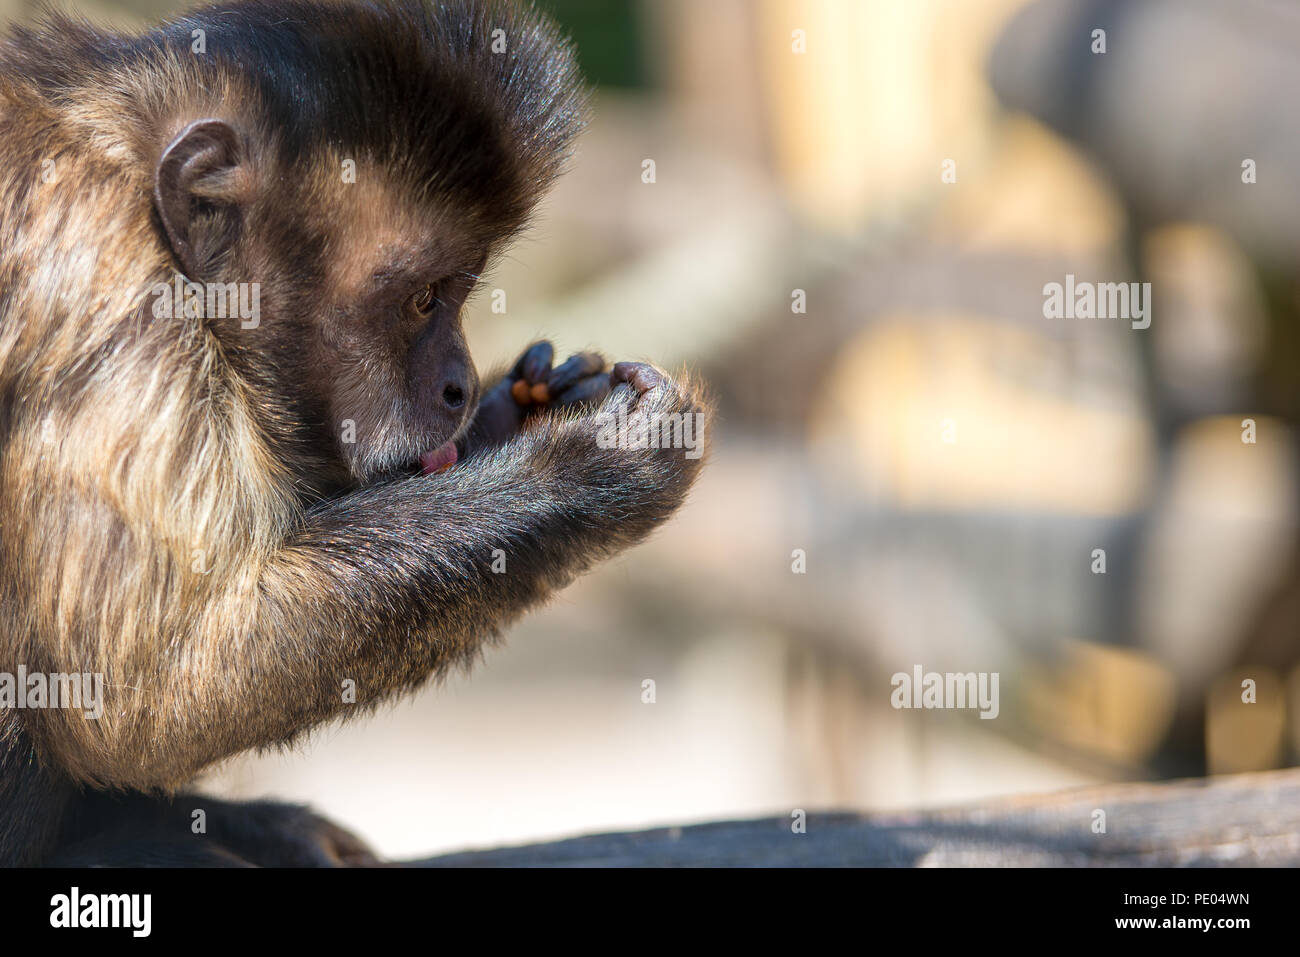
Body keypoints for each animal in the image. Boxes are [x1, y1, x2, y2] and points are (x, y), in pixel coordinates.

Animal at [0, 0, 709, 866]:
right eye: (423, 297)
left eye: (462, 291)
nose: (457, 386)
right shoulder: (98, 268)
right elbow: (143, 694)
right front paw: (596, 465)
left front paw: (522, 410)